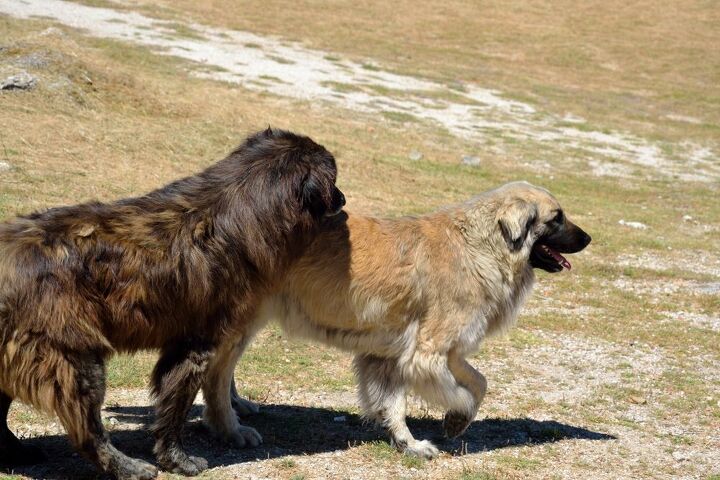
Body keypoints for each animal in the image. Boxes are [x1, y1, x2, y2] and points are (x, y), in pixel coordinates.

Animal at [0, 128, 346, 480]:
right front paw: (178, 461)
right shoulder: (195, 347)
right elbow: (175, 409)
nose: (344, 200)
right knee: (88, 432)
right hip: (76, 364)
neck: (235, 208)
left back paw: (17, 452)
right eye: (334, 179)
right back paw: (129, 467)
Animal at [205, 183, 588, 458]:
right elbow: (457, 394)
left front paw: (419, 439)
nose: (589, 238)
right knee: (216, 376)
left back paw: (239, 407)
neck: (481, 247)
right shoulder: (425, 355)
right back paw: (230, 428)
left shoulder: (419, 353)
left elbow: (475, 384)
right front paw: (450, 421)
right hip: (243, 320)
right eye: (556, 218)